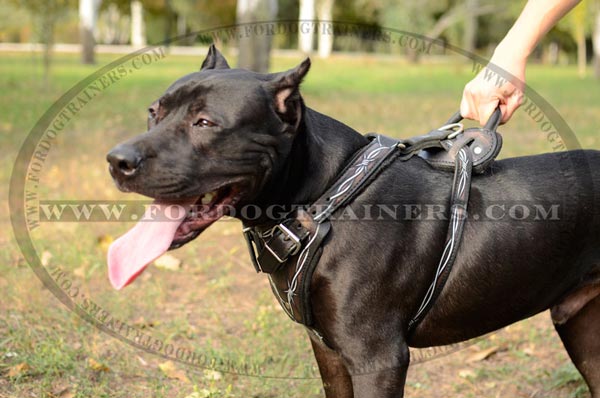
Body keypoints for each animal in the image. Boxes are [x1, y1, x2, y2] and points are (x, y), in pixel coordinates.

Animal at [106, 45, 600, 394]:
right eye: (154, 112)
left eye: (205, 122)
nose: (117, 160)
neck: (323, 199)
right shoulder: (328, 351)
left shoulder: (377, 358)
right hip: (582, 328)